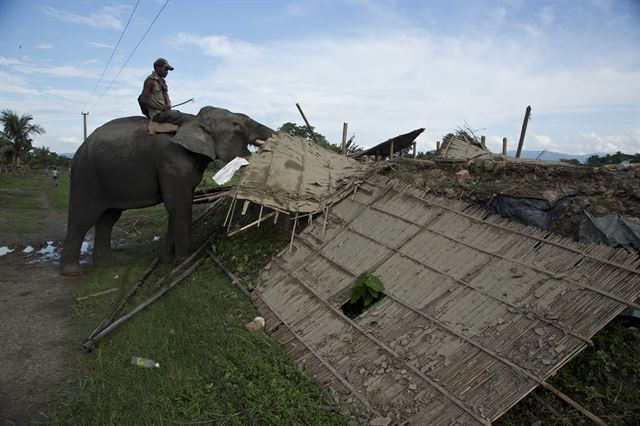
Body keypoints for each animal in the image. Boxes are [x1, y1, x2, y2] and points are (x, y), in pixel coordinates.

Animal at [57, 106, 272, 276]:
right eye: (237, 125)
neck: (191, 119)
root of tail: (80, 148)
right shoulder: (172, 160)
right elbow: (179, 205)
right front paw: (184, 263)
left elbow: (179, 205)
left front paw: (167, 261)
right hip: (86, 176)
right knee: (83, 218)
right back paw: (73, 273)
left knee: (108, 218)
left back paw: (106, 265)